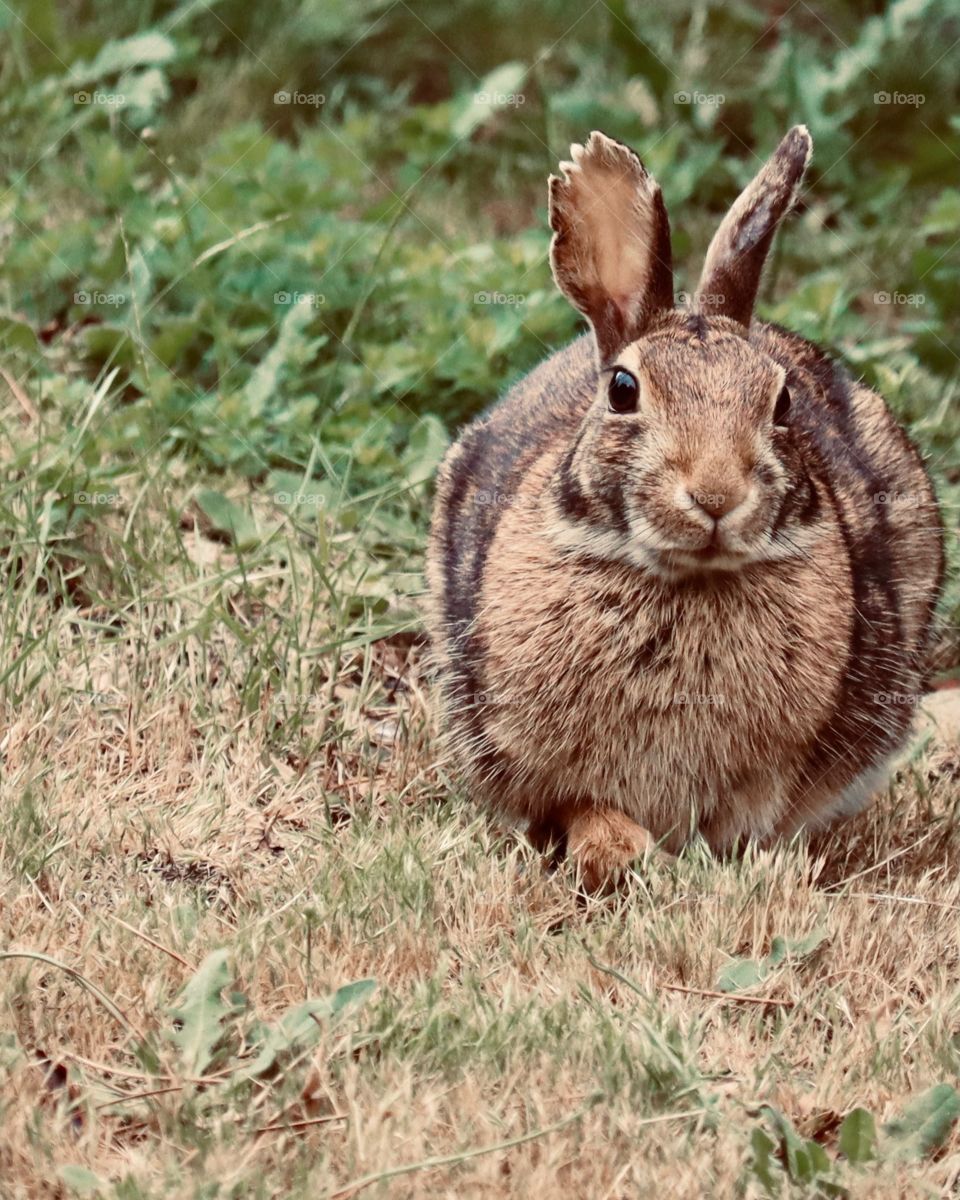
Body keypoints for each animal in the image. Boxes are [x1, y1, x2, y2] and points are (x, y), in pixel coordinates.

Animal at [425, 126, 944, 890]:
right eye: (622, 389)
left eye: (782, 402)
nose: (716, 494)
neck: (682, 579)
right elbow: (582, 810)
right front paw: (619, 852)